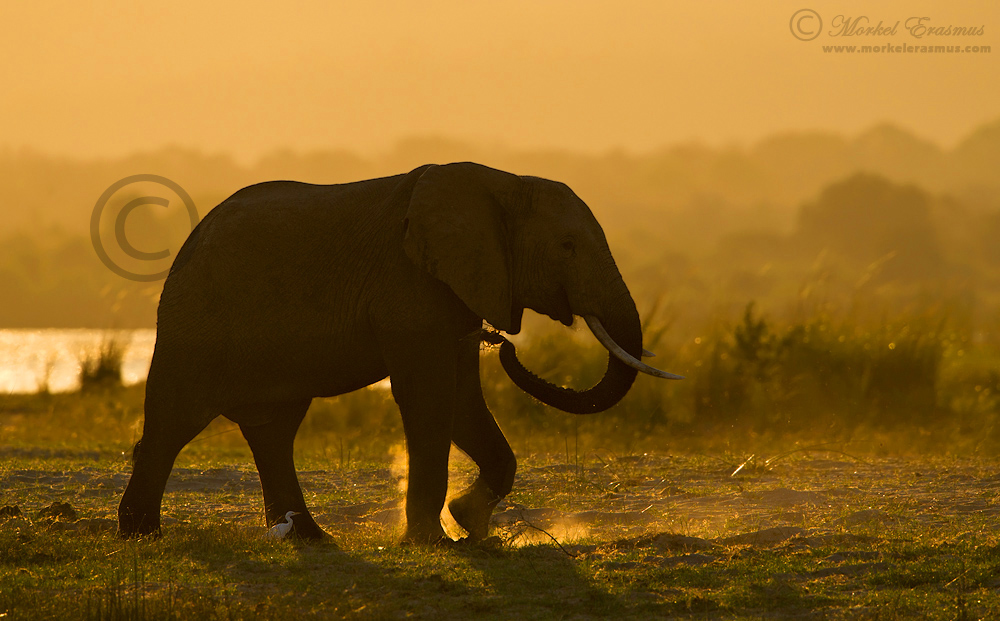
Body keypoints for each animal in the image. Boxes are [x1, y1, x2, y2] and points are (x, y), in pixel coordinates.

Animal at [118, 162, 681, 543]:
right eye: (567, 246)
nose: (504, 343)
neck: (502, 182)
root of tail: (188, 242)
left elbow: (462, 399)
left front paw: (472, 526)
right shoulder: (409, 288)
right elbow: (430, 395)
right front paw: (436, 541)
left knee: (274, 430)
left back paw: (312, 539)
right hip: (196, 319)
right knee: (175, 421)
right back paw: (142, 535)